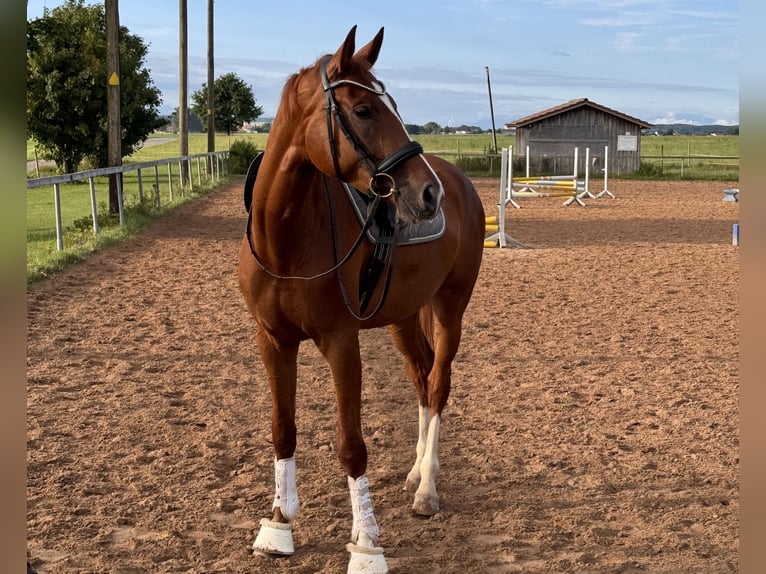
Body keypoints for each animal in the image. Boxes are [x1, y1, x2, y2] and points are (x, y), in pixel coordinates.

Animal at [237, 25, 485, 573]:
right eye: (364, 109)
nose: (428, 194)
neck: (286, 239)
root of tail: (459, 182)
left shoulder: (340, 343)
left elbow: (351, 446)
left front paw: (368, 543)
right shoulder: (273, 341)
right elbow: (282, 430)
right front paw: (279, 525)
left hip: (450, 308)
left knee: (439, 384)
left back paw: (427, 489)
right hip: (404, 317)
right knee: (421, 377)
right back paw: (415, 472)